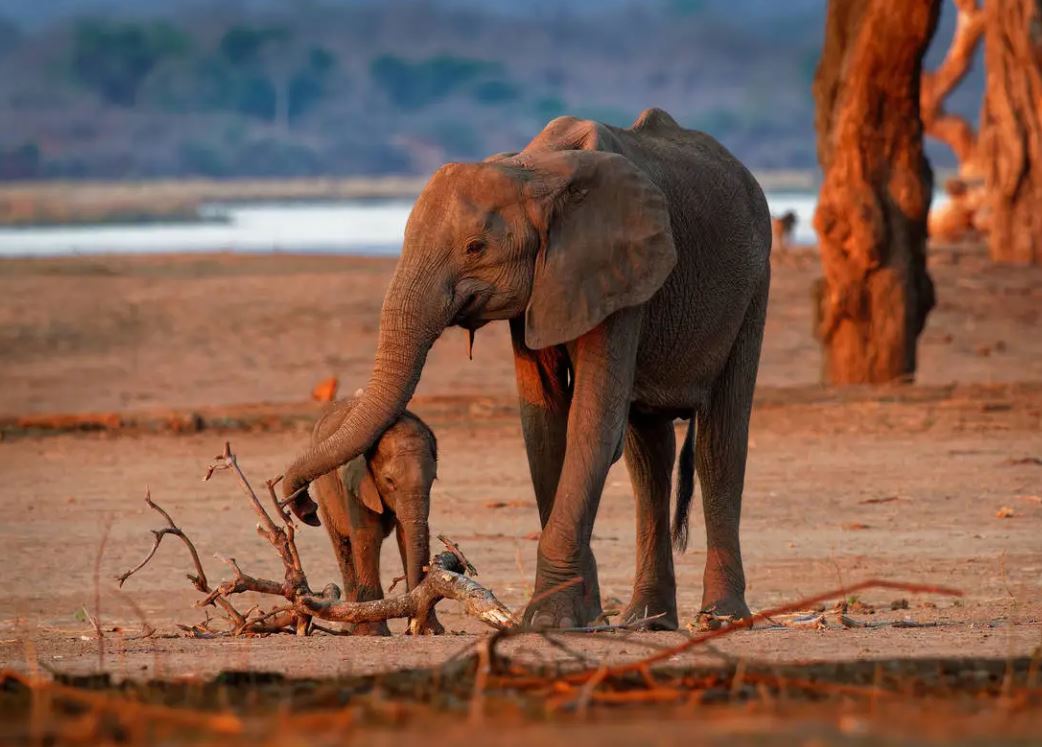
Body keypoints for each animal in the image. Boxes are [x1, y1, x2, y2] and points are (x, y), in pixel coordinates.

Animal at [307, 396, 441, 635]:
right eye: (389, 480)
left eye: (433, 478)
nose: (413, 628)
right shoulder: (355, 482)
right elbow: (368, 535)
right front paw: (373, 633)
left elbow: (406, 535)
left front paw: (431, 630)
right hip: (323, 494)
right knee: (342, 546)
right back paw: (350, 628)